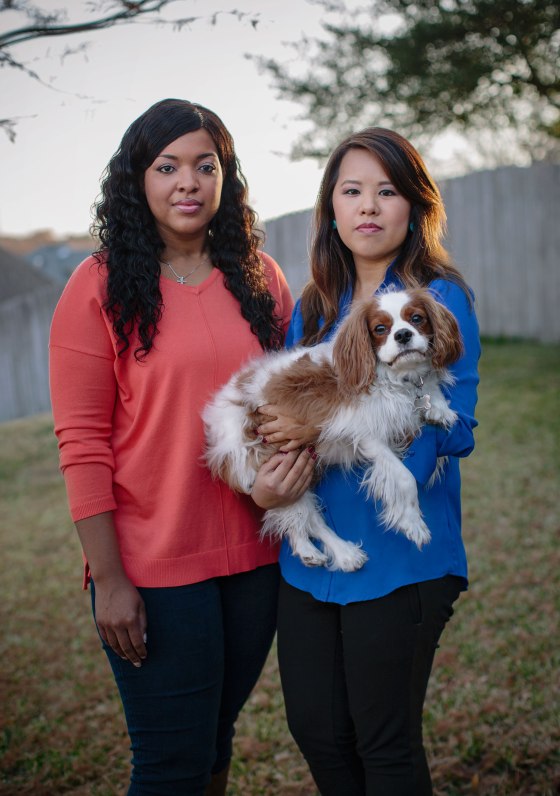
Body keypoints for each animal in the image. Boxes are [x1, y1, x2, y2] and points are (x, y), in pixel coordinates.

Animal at [203, 286, 462, 572]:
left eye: (416, 319)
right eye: (380, 328)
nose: (403, 334)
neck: (394, 378)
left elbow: (430, 394)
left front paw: (438, 408)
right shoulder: (367, 434)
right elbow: (404, 477)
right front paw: (413, 523)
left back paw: (319, 552)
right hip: (269, 464)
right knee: (304, 517)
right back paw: (337, 552)